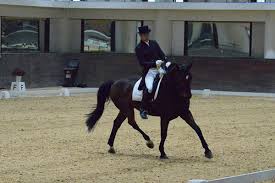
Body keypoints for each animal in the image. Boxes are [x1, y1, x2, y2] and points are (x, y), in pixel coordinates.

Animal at [85, 62, 213, 159]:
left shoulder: (185, 113)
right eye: (180, 78)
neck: (171, 91)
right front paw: (162, 153)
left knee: (117, 123)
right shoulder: (165, 116)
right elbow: (164, 134)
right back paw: (149, 142)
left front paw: (207, 151)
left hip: (124, 109)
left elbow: (197, 128)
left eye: (190, 78)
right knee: (132, 122)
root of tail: (114, 82)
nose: (188, 96)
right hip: (127, 109)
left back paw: (111, 147)